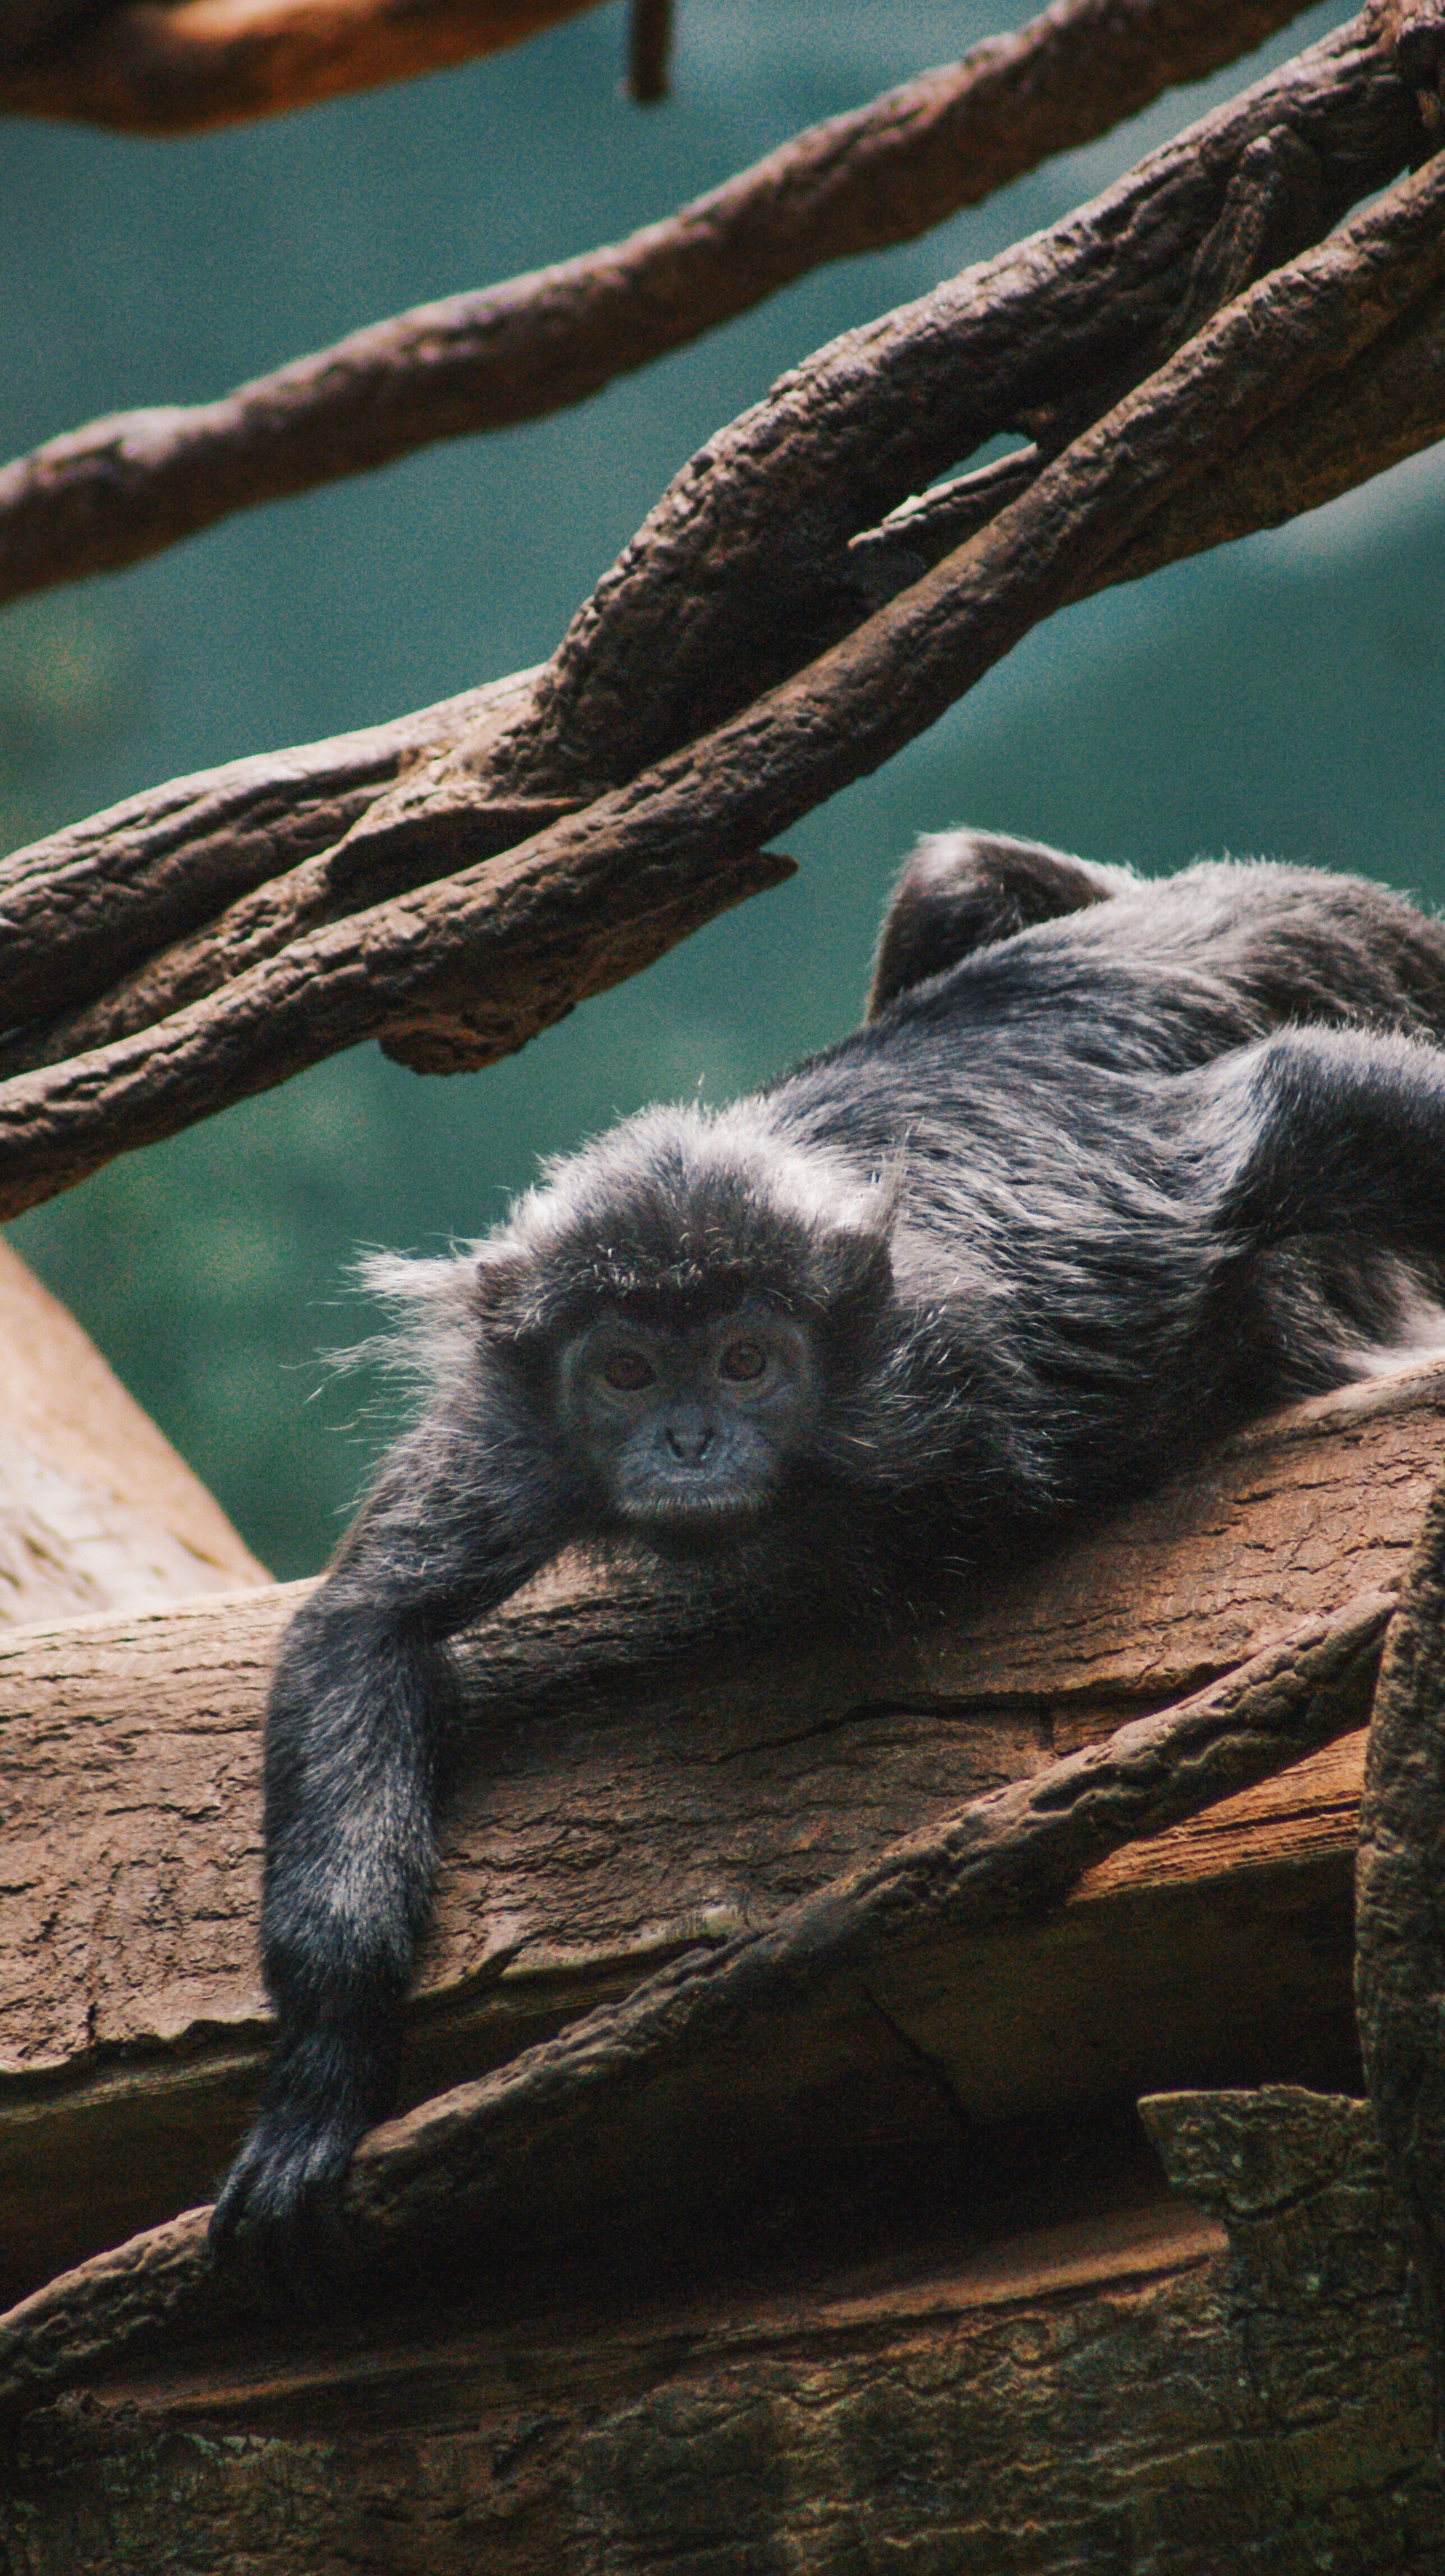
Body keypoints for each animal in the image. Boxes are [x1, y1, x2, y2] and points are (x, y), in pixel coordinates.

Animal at [211, 833, 1445, 2267]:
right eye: (626, 1374)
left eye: (747, 1361)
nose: (690, 1442)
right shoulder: (520, 1421)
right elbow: (367, 1620)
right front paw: (325, 2071)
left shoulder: (1045, 1277)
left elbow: (1292, 1103)